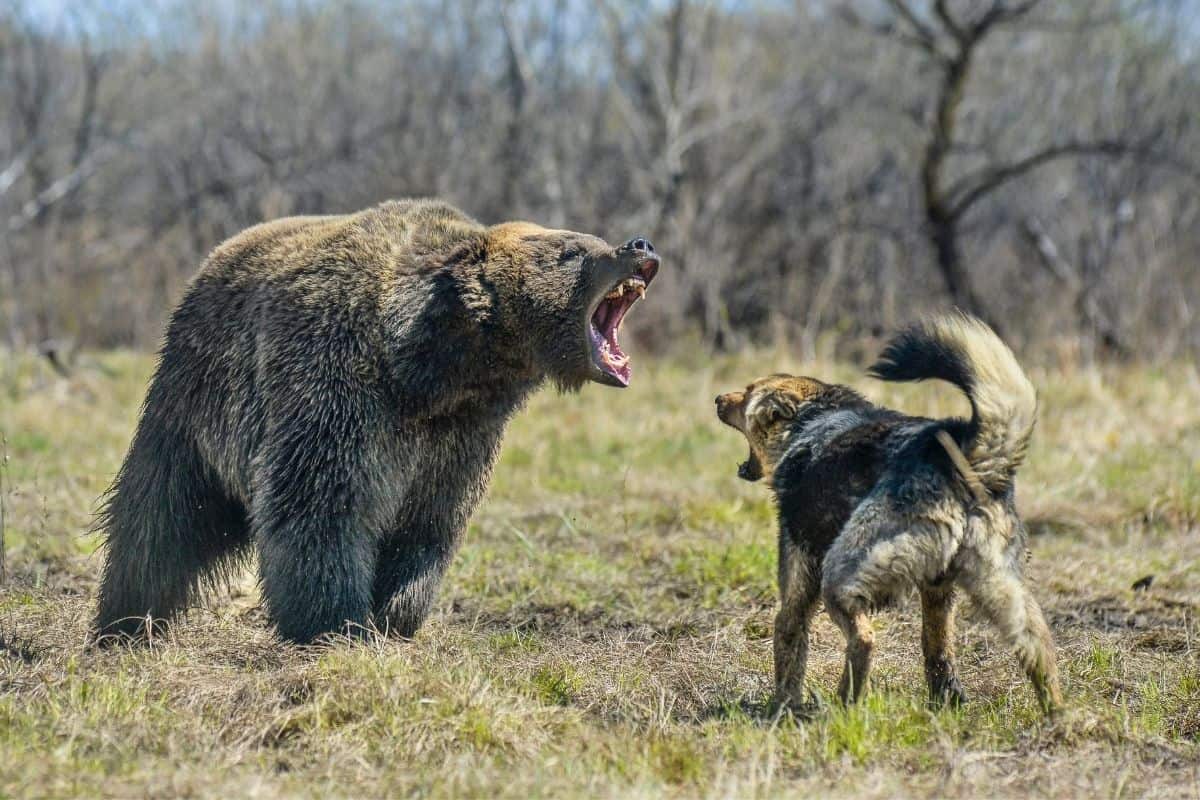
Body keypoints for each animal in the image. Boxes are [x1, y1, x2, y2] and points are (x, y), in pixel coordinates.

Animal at [92, 200, 657, 642]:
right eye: (571, 251)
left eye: (589, 239)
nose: (640, 244)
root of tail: (215, 257)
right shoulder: (340, 389)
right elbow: (321, 506)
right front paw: (335, 621)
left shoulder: (460, 438)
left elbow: (427, 524)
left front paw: (396, 613)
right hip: (196, 400)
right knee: (159, 513)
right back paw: (124, 620)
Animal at [710, 311, 1060, 714]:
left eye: (748, 392)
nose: (717, 398)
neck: (811, 422)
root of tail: (959, 456)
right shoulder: (936, 589)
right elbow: (936, 644)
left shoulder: (797, 580)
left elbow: (788, 643)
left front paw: (781, 709)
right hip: (1002, 590)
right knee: (1034, 649)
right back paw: (1052, 716)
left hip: (841, 575)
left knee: (863, 638)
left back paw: (844, 704)